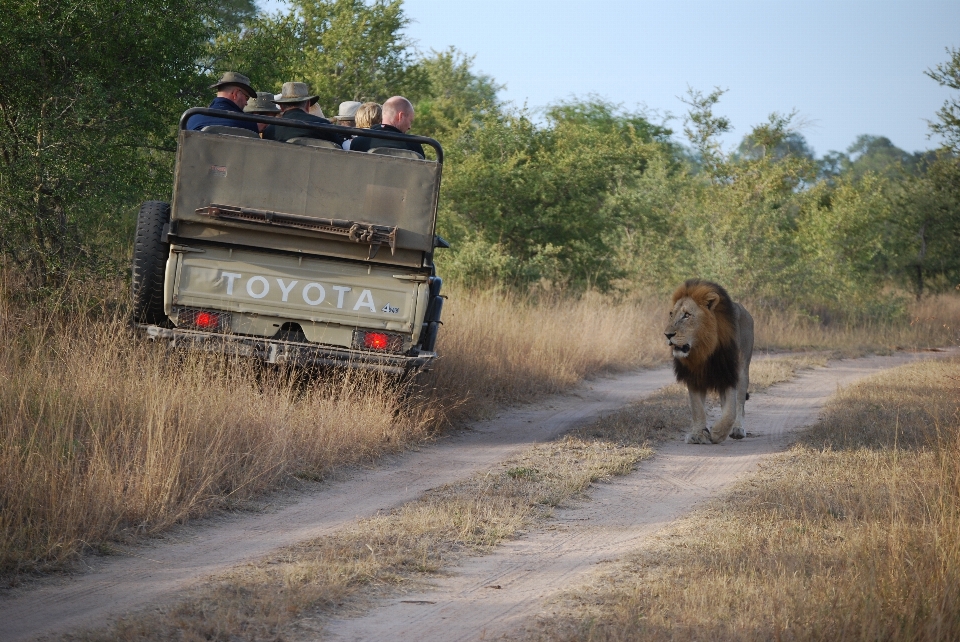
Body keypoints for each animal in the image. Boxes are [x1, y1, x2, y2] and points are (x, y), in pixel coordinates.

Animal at [664, 278, 752, 442]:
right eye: (671, 314)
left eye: (687, 315)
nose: (667, 334)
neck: (703, 349)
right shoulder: (693, 376)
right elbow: (697, 408)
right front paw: (697, 434)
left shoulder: (728, 372)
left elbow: (731, 410)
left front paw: (718, 432)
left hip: (743, 370)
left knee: (740, 403)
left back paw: (737, 429)